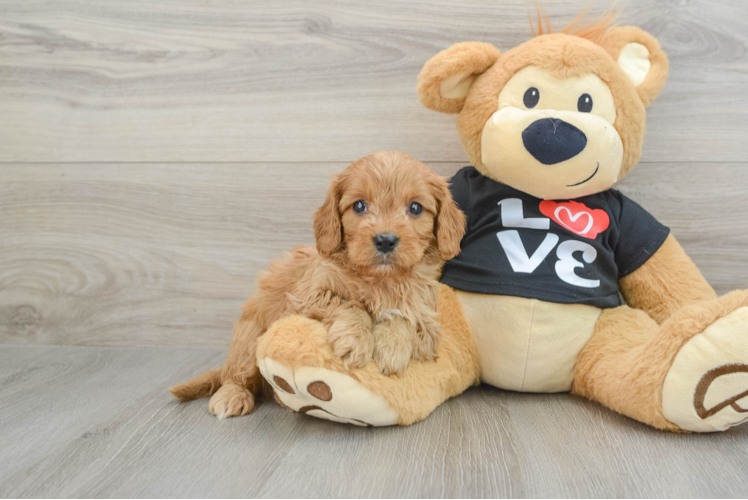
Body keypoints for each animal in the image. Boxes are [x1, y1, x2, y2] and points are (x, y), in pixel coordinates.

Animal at [170, 151, 464, 418]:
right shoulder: (304, 297)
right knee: (237, 375)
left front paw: (392, 349)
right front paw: (355, 340)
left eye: (415, 208)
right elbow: (349, 303)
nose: (385, 240)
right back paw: (232, 396)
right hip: (248, 337)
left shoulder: (427, 319)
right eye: (359, 206)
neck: (380, 280)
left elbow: (407, 318)